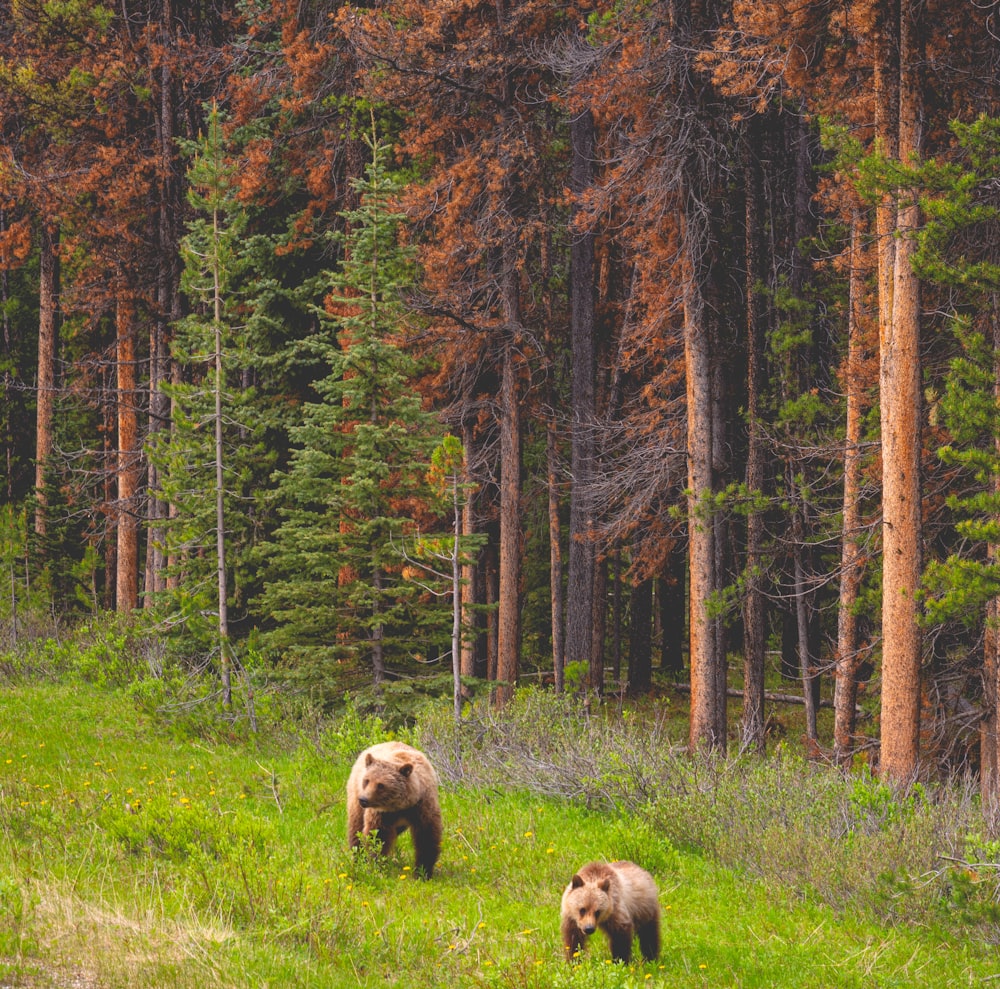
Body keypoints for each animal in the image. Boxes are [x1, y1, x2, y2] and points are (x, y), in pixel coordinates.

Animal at [346, 740, 440, 880]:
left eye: (380, 785)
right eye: (367, 780)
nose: (363, 799)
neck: (400, 806)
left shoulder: (421, 807)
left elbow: (426, 836)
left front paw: (423, 872)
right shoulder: (381, 814)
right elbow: (378, 836)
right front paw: (376, 865)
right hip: (355, 796)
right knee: (356, 827)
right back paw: (358, 857)